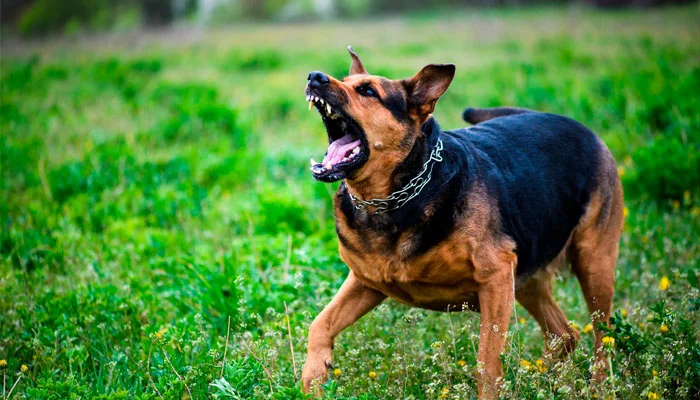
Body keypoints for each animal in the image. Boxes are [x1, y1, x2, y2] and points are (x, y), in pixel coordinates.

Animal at [300, 46, 624, 396]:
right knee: (563, 333)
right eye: (344, 81)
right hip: (527, 275)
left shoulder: (496, 279)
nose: (314, 76)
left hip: (593, 261)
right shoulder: (365, 282)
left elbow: (488, 362)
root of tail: (578, 126)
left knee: (602, 335)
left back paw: (598, 387)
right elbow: (320, 324)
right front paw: (313, 378)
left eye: (368, 91)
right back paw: (545, 381)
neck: (396, 195)